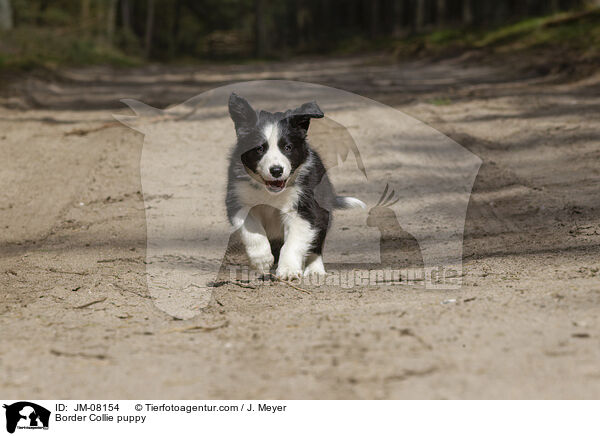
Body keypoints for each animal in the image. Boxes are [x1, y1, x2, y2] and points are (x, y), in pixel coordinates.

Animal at [226, 94, 364, 280]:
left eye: (288, 147)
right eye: (259, 149)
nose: (276, 171)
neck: (270, 192)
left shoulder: (304, 208)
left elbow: (293, 242)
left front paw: (288, 270)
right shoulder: (238, 201)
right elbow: (252, 231)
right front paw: (262, 260)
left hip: (322, 211)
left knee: (315, 245)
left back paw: (314, 269)